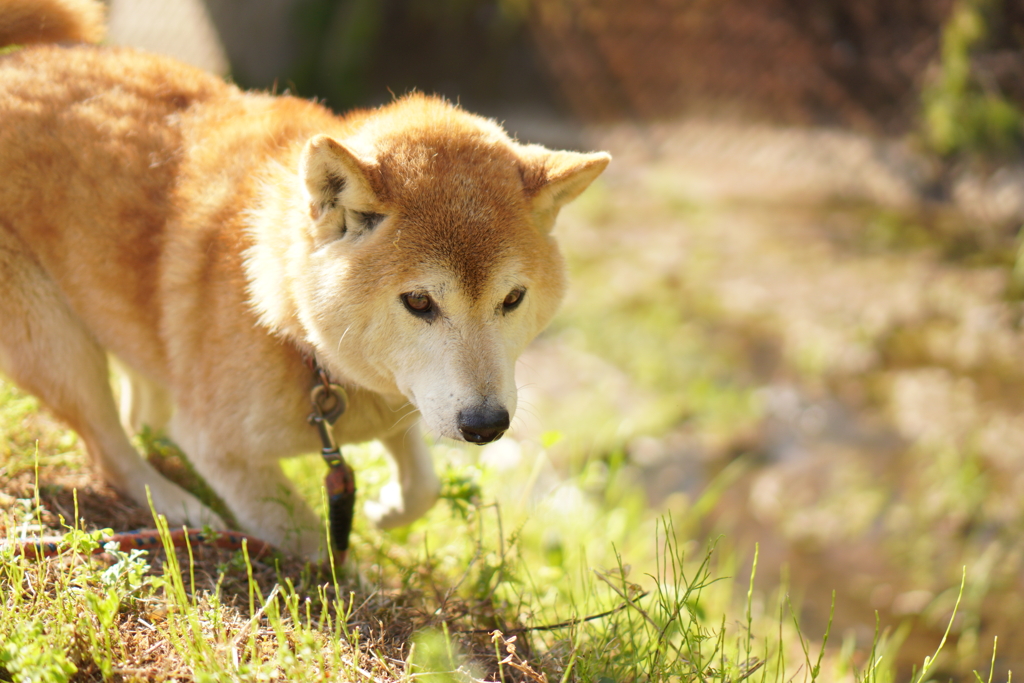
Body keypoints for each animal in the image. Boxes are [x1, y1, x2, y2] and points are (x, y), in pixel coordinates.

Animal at [0, 0, 606, 557]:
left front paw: (388, 509)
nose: (486, 425)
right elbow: (315, 544)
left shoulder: (397, 399)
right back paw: (178, 507)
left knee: (139, 412)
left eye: (513, 298)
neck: (295, 333)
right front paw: (344, 577)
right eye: (418, 302)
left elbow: (423, 483)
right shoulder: (218, 445)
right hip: (57, 345)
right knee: (108, 447)